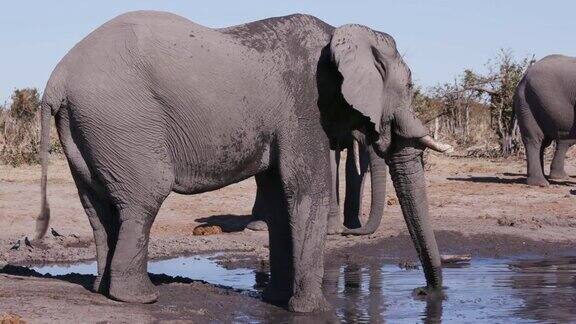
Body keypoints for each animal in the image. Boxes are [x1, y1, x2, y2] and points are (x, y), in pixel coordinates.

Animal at [35, 11, 440, 312]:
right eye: (408, 87)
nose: (427, 293)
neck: (340, 32)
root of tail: (56, 81)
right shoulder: (304, 104)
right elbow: (306, 192)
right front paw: (313, 311)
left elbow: (278, 198)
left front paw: (277, 300)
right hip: (122, 121)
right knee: (143, 199)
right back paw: (139, 298)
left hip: (88, 128)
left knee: (98, 207)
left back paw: (102, 291)